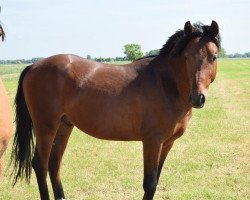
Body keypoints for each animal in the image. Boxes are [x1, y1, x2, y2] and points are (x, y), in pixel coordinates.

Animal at [11, 21, 221, 199]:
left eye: (213, 57)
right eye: (186, 57)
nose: (197, 98)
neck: (165, 83)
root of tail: (34, 65)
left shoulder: (167, 143)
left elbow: (156, 180)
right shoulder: (152, 141)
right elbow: (150, 184)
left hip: (64, 125)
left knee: (54, 164)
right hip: (45, 125)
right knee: (40, 165)